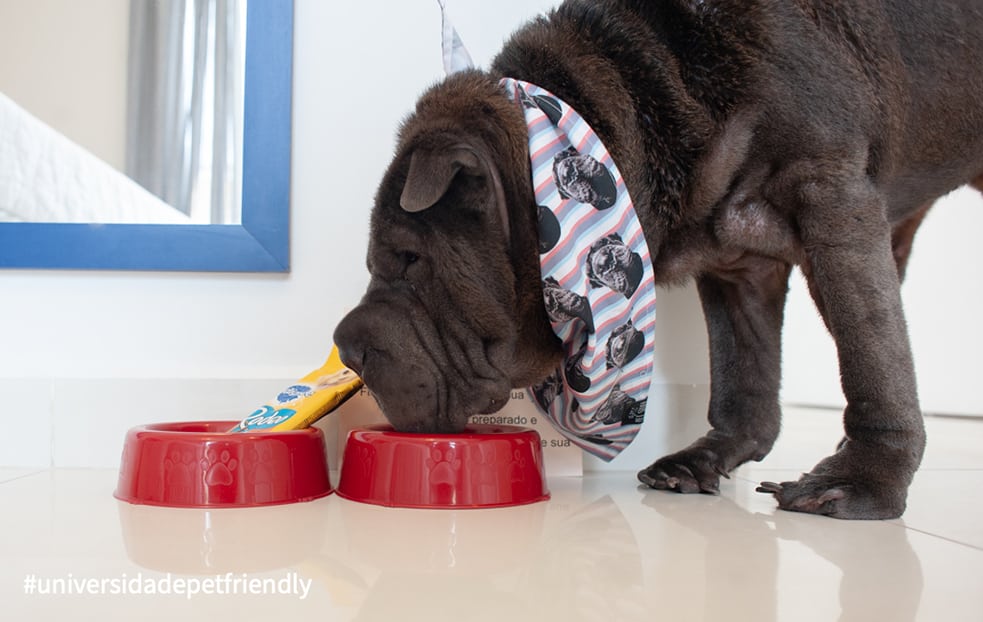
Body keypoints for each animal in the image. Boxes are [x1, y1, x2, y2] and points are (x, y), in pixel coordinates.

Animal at [332, 0, 983, 520]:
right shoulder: (737, 265)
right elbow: (742, 378)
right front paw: (706, 457)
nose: (346, 347)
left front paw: (863, 479)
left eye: (408, 259)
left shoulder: (832, 199)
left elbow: (873, 353)